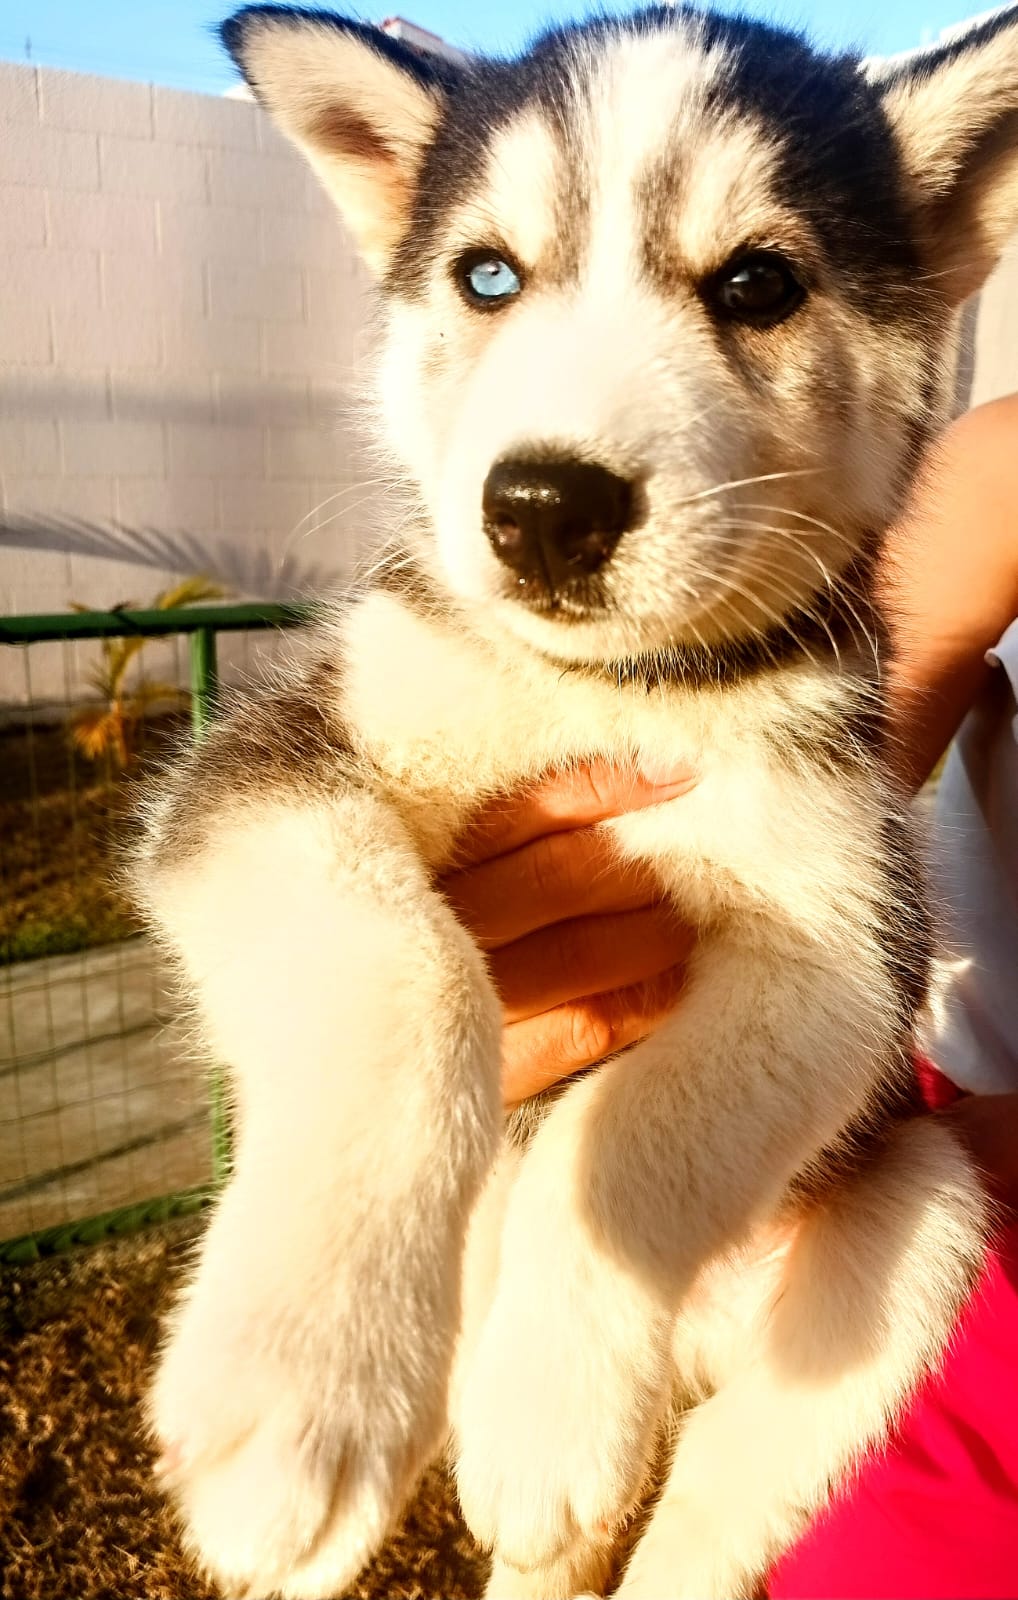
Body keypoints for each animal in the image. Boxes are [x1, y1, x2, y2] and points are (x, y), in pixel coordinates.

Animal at [139, 12, 1018, 1600]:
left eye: (757, 282)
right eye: (488, 275)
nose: (544, 506)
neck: (613, 694)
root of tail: (696, 1346)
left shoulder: (847, 935)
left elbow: (632, 1120)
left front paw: (550, 1402)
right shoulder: (272, 762)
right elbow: (411, 972)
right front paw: (299, 1384)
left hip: (924, 1216)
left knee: (715, 1504)